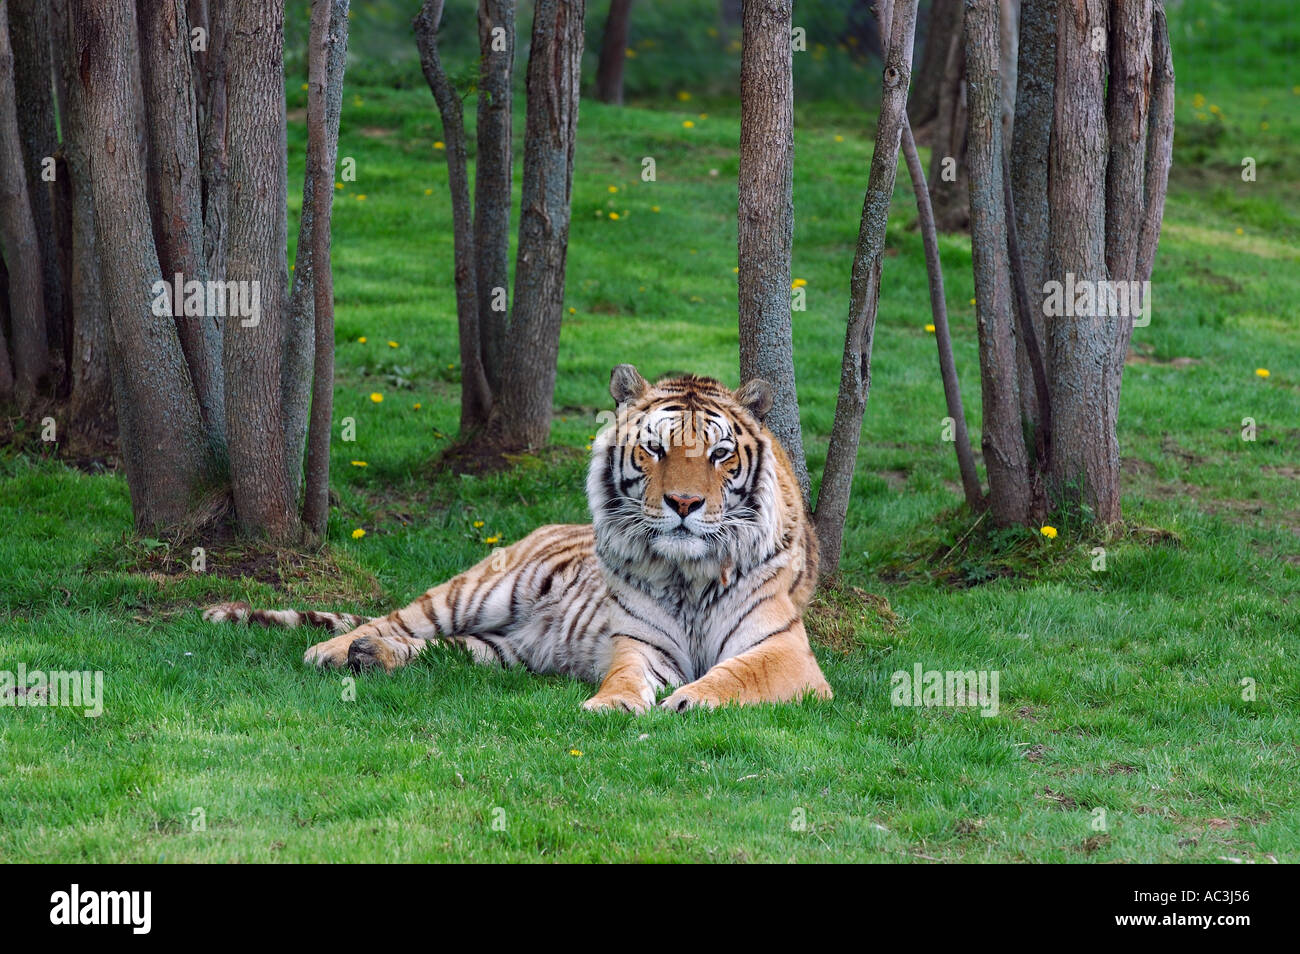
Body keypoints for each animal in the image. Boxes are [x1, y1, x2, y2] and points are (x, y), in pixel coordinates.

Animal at [202, 366, 832, 712]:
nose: (683, 504)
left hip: (499, 650)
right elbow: (625, 676)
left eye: (720, 455)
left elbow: (738, 674)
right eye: (654, 449)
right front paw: (609, 705)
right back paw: (334, 651)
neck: (689, 574)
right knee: (397, 620)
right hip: (475, 591)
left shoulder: (786, 653)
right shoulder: (641, 645)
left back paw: (373, 658)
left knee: (439, 649)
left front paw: (688, 698)